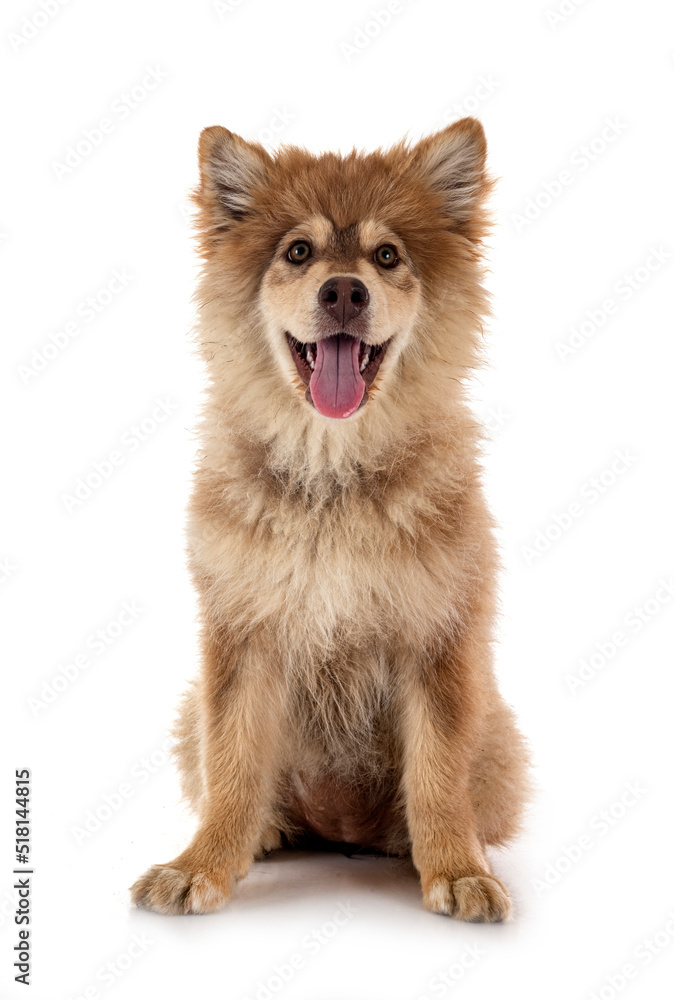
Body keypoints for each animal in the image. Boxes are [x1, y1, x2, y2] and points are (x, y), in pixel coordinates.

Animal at [130, 115, 532, 920]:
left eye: (387, 256)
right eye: (297, 252)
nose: (344, 290)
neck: (334, 476)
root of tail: (341, 829)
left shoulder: (439, 638)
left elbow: (438, 772)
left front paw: (457, 870)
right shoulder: (241, 637)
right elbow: (233, 764)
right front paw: (202, 864)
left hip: (499, 735)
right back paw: (265, 832)